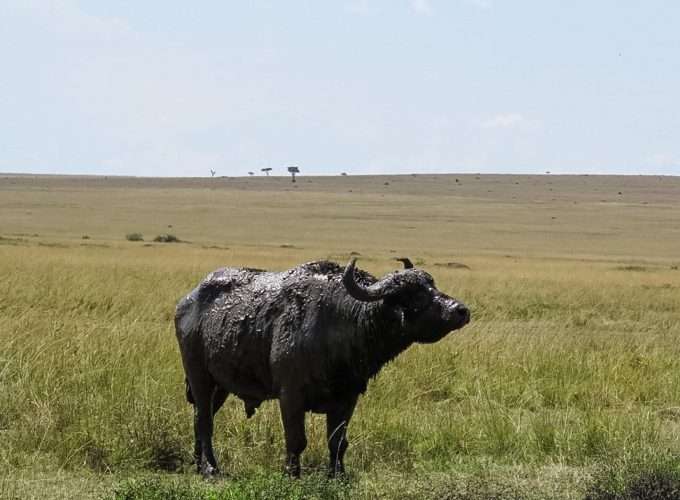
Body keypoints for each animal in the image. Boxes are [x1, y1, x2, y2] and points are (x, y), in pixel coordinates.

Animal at [174, 258, 468, 476]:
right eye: (414, 294)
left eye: (432, 284)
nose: (460, 310)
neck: (340, 322)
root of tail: (187, 302)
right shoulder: (290, 396)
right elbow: (296, 439)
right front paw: (292, 474)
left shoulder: (347, 399)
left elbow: (337, 442)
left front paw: (338, 475)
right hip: (199, 378)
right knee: (204, 421)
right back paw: (211, 468)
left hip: (220, 387)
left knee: (200, 419)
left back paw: (198, 464)